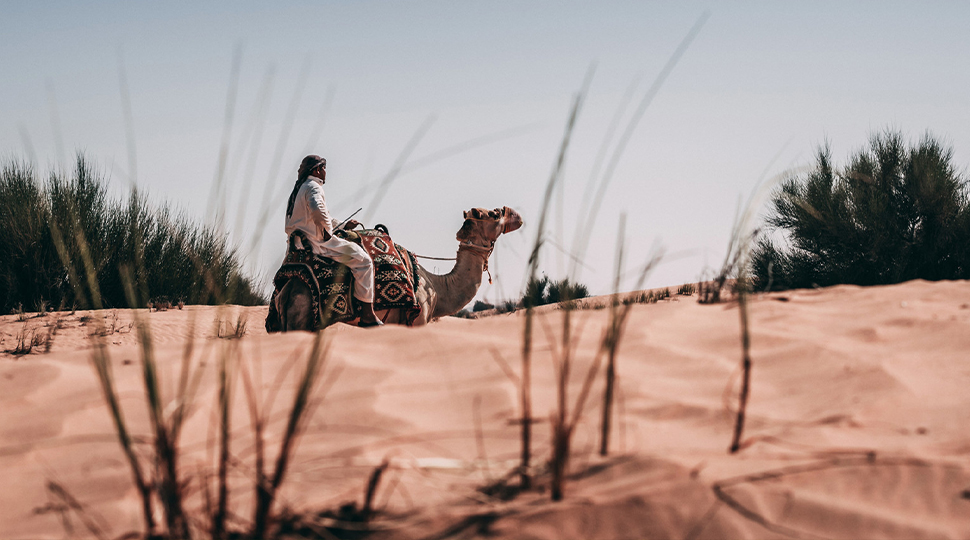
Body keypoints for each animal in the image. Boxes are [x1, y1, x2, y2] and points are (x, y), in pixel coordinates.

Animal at [272, 206, 520, 330]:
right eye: (496, 214)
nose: (516, 215)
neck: (437, 288)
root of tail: (288, 291)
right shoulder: (418, 321)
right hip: (302, 317)